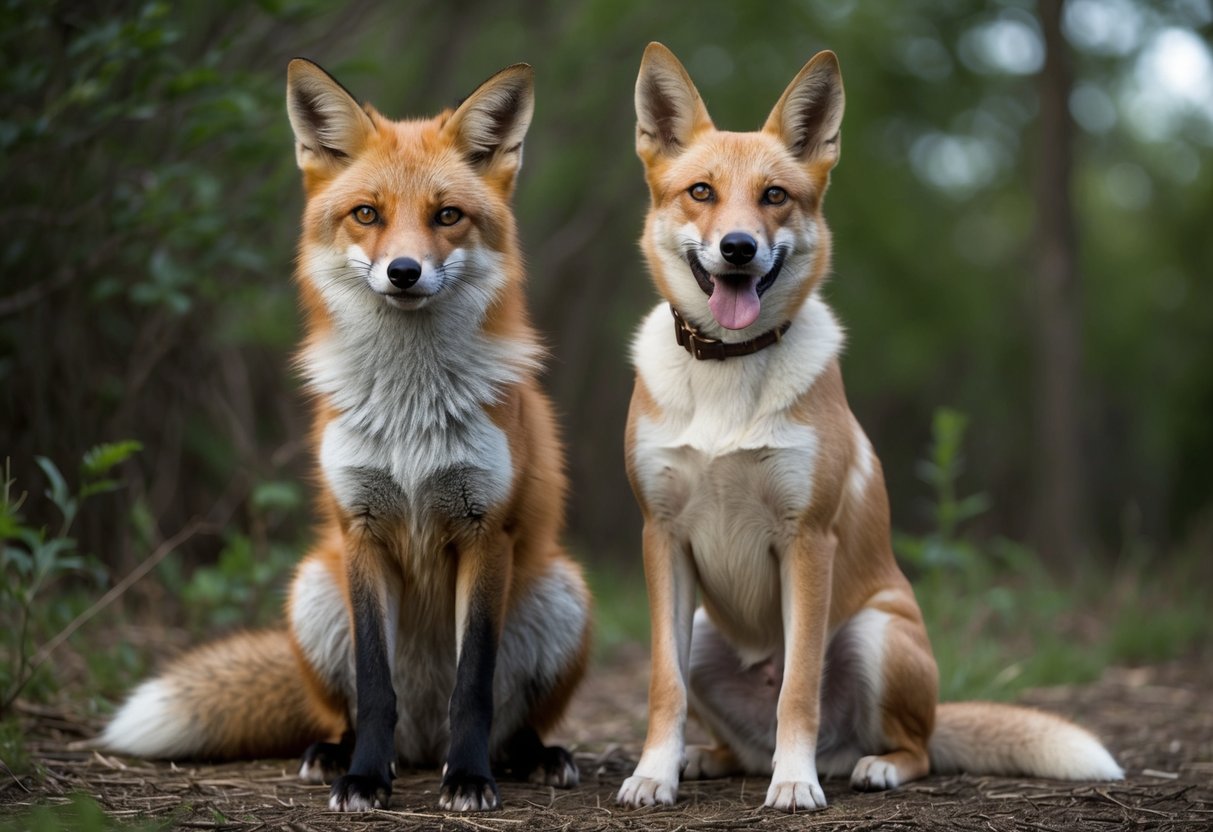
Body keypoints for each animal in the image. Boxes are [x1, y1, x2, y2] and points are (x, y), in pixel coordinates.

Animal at [99, 59, 591, 813]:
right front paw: (363, 778)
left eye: (447, 216)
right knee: (351, 712)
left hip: (563, 592)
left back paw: (529, 757)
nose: (403, 271)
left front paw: (468, 778)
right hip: (311, 587)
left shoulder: (487, 530)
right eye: (367, 214)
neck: (411, 411)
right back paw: (339, 753)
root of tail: (421, 746)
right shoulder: (360, 526)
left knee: (511, 723)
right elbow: (374, 685)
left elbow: (473, 688)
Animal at [616, 42, 1123, 813]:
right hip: (705, 633)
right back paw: (709, 759)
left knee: (911, 746)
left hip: (876, 633)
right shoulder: (662, 538)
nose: (737, 248)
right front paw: (654, 773)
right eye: (700, 191)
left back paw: (863, 766)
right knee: (743, 746)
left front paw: (793, 785)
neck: (730, 369)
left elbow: (798, 688)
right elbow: (660, 685)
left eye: (774, 196)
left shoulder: (807, 542)